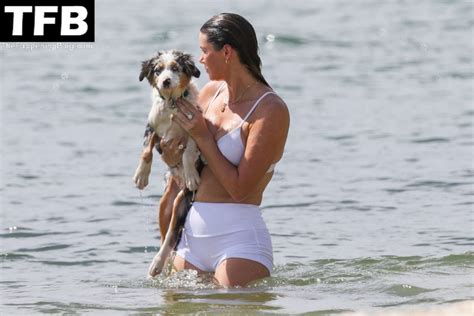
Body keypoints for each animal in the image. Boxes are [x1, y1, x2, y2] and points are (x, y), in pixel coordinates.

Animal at [131, 48, 202, 276]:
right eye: (158, 70)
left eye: (176, 68)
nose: (166, 81)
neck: (172, 103)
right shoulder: (151, 128)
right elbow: (146, 151)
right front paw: (141, 176)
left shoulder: (196, 129)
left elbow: (188, 152)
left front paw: (191, 176)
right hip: (164, 205)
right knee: (165, 237)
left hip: (181, 201)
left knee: (171, 235)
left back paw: (157, 264)